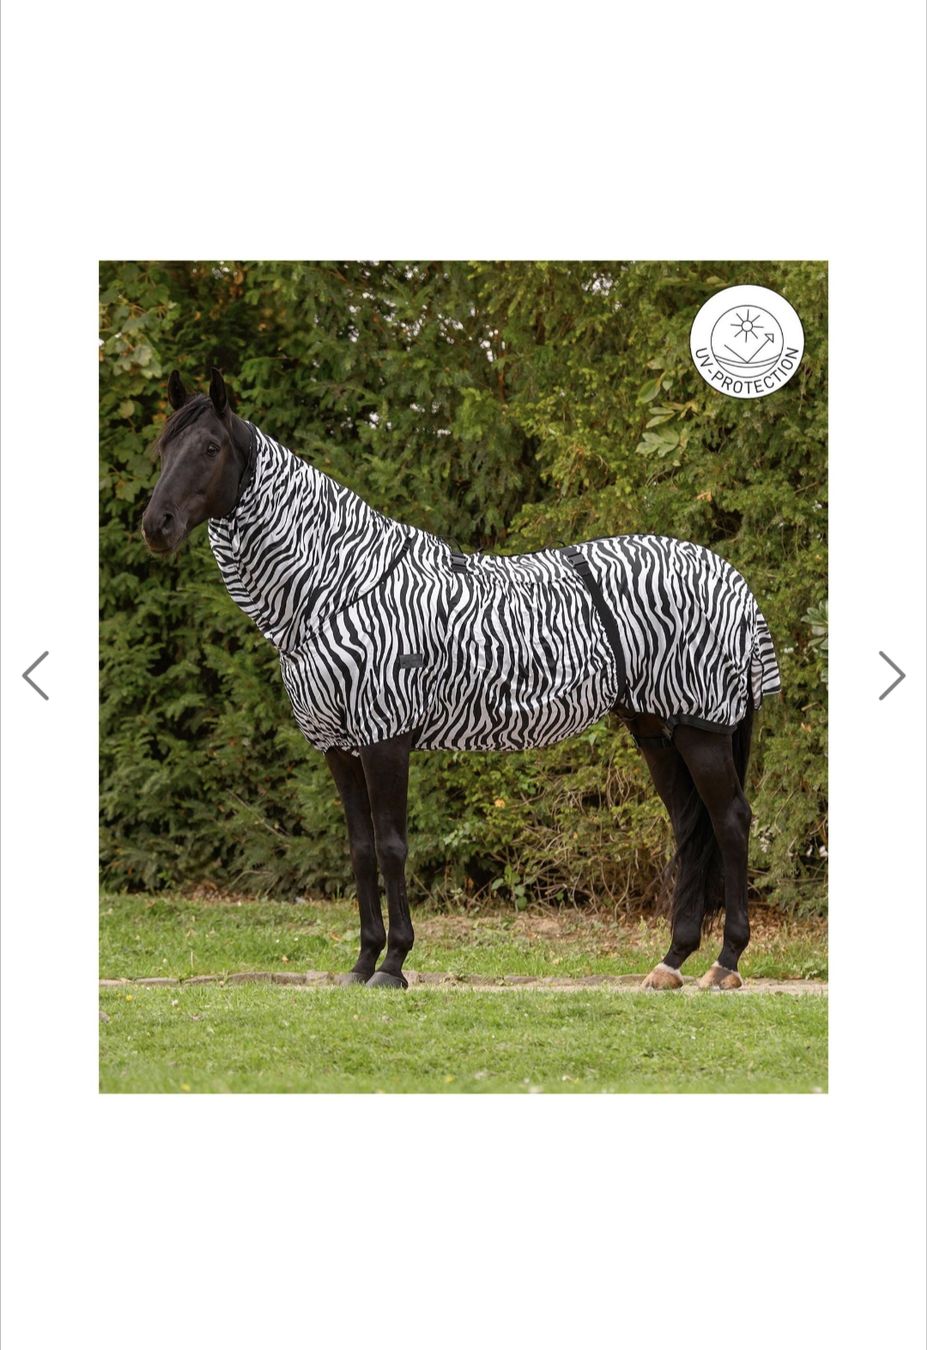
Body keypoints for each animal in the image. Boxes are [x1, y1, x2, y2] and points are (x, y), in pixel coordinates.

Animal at [141, 369, 780, 991]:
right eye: (164, 446)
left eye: (210, 447)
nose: (156, 526)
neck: (337, 585)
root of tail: (732, 579)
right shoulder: (338, 747)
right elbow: (361, 849)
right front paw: (361, 963)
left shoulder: (385, 737)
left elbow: (393, 846)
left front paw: (393, 965)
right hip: (656, 730)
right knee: (690, 826)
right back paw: (671, 962)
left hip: (701, 728)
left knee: (729, 821)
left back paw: (725, 963)